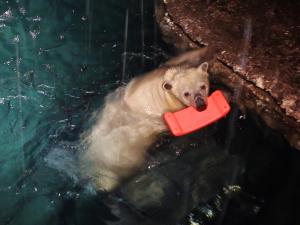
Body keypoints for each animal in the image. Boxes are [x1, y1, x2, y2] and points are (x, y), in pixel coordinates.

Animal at [80, 48, 211, 192]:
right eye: (186, 93)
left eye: (203, 86)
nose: (201, 105)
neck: (164, 87)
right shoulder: (168, 106)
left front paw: (205, 50)